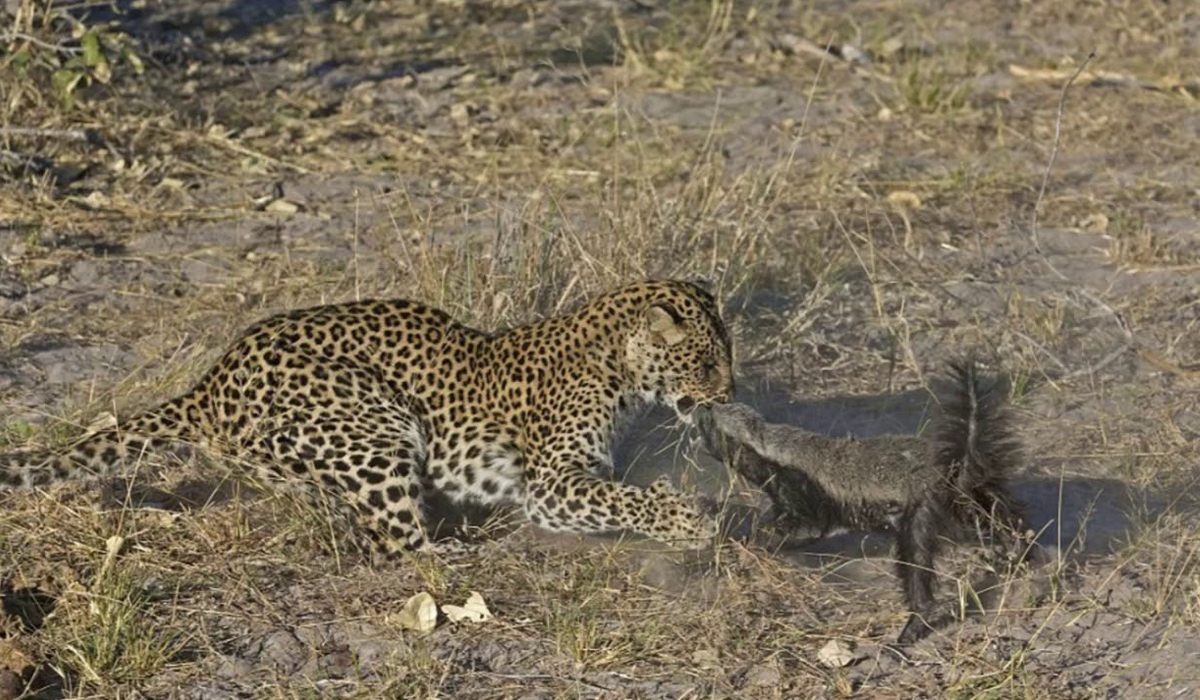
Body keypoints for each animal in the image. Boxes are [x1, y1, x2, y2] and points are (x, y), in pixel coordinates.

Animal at [0, 279, 734, 559]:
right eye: (704, 361)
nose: (730, 394)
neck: (618, 367)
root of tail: (209, 381)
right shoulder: (551, 483)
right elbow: (620, 497)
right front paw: (686, 521)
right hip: (375, 426)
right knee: (400, 545)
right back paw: (464, 545)